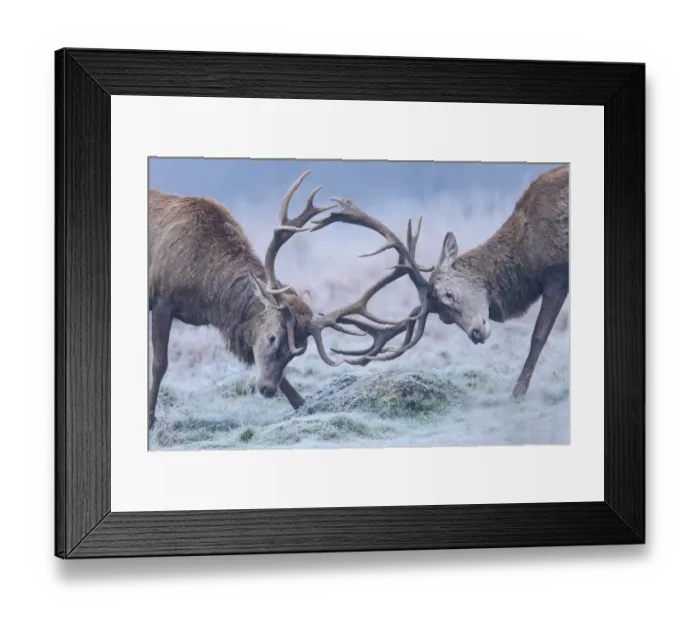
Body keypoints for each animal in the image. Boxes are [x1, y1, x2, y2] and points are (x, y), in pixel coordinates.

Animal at [147, 171, 434, 429]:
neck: (209, 300)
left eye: (297, 351)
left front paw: (303, 405)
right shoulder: (162, 300)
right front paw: (150, 421)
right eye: (272, 337)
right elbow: (159, 364)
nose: (266, 389)